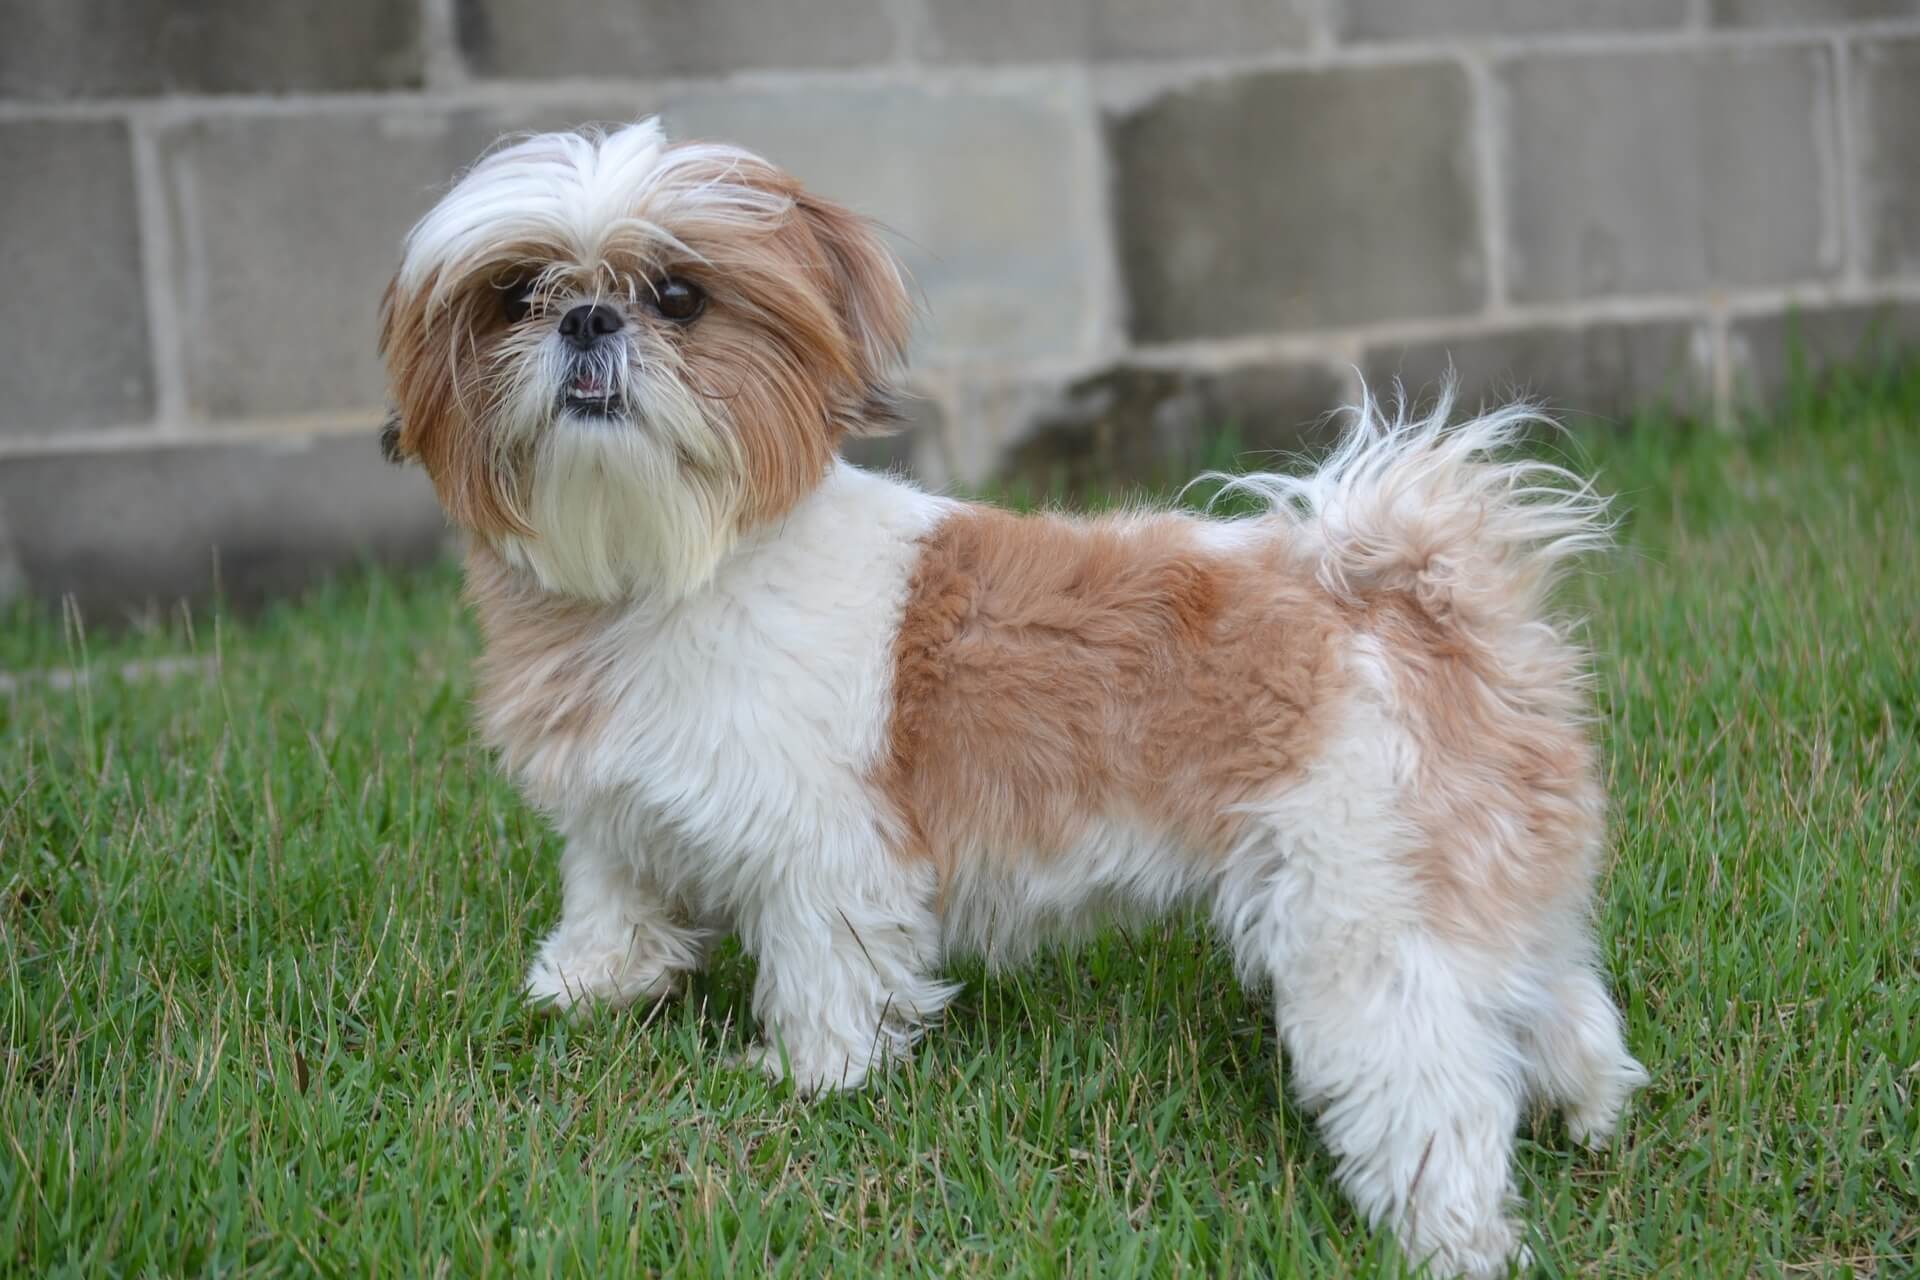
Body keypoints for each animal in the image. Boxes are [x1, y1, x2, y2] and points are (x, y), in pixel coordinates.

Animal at [378, 117, 1651, 1274]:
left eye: (679, 296)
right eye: (516, 295)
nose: (588, 318)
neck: (667, 564)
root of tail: (1412, 591)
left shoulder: (824, 851)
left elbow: (829, 969)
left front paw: (809, 1076)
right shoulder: (620, 809)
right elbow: (616, 888)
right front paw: (583, 985)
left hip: (1368, 921)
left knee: (1435, 1084)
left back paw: (1454, 1235)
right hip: (1480, 881)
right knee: (1556, 1002)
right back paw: (1588, 1108)